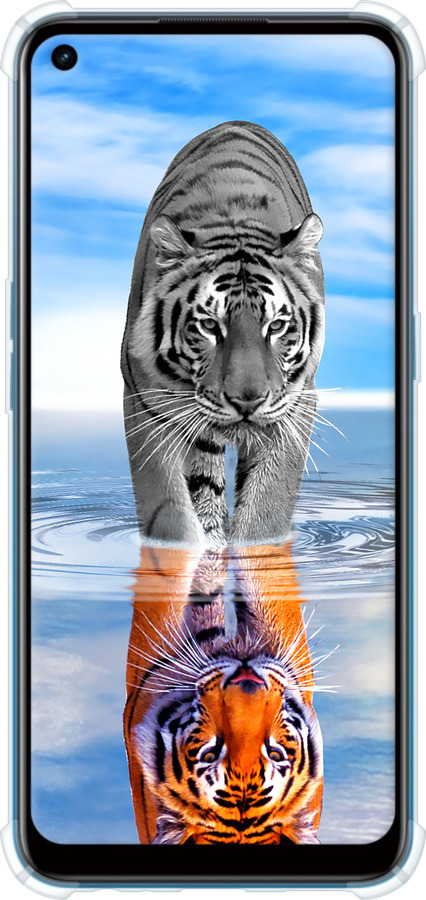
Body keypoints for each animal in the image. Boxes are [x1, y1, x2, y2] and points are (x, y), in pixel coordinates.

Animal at [121, 120, 325, 548]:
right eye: (210, 326)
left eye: (276, 326)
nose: (247, 401)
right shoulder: (145, 401)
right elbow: (168, 511)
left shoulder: (296, 404)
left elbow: (267, 509)